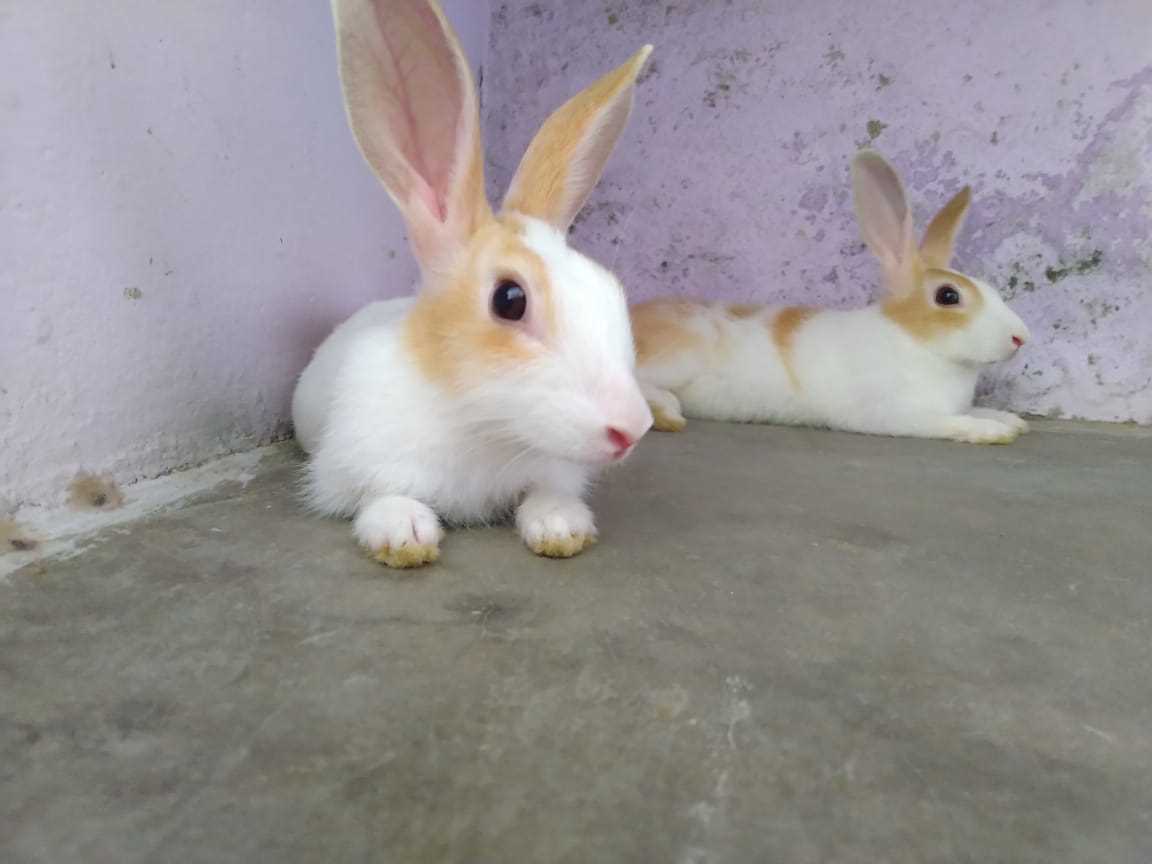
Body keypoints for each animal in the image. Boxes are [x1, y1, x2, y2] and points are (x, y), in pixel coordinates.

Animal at [292, 0, 654, 568]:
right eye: (510, 299)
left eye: (610, 289)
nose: (631, 429)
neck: (482, 424)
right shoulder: (354, 466)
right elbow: (381, 496)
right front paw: (404, 536)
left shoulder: (548, 470)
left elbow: (547, 495)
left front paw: (561, 527)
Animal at [631, 149, 1032, 445]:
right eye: (948, 295)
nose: (1020, 338)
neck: (915, 340)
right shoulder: (901, 415)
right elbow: (953, 424)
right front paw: (992, 431)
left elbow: (975, 411)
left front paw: (1010, 420)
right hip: (681, 355)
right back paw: (667, 413)